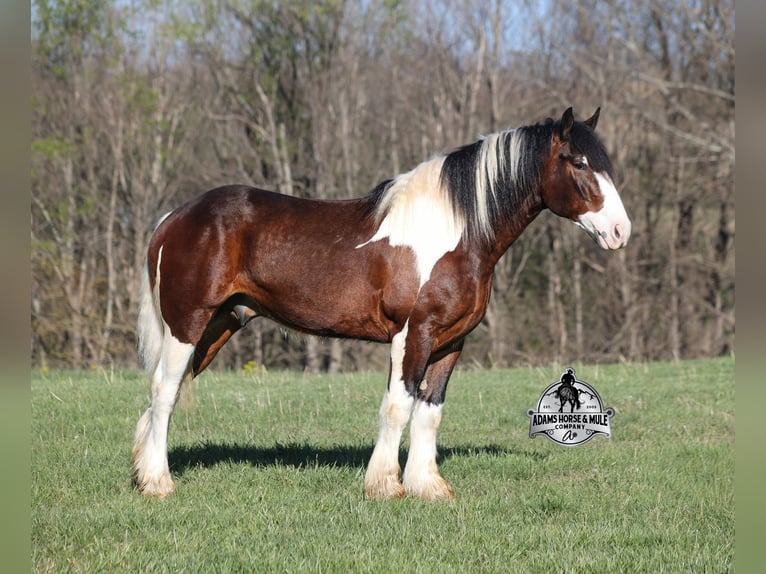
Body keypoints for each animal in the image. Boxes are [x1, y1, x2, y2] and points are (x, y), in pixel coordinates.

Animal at [132, 107, 631, 501]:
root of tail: (175, 217)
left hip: (218, 327)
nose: (620, 231)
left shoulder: (450, 342)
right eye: (579, 162)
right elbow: (398, 405)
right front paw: (385, 485)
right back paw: (158, 483)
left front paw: (428, 486)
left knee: (161, 399)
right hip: (187, 325)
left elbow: (429, 411)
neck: (454, 231)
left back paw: (143, 472)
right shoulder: (412, 334)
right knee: (164, 390)